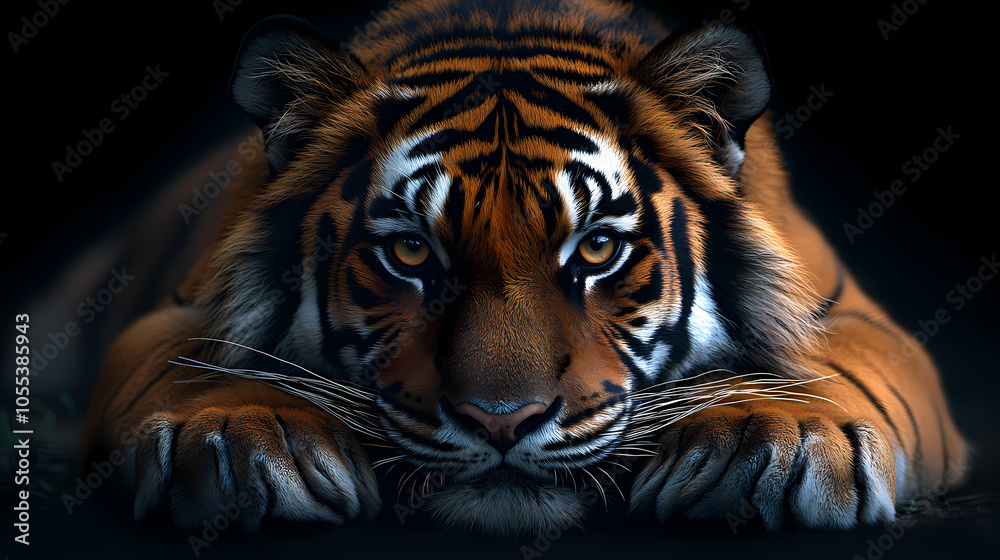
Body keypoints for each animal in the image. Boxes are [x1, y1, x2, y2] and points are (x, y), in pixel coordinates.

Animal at [80, 0, 968, 536]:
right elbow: (189, 362)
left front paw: (775, 434)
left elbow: (848, 368)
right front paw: (239, 431)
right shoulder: (178, 313)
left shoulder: (862, 319)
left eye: (598, 250)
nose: (502, 421)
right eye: (410, 251)